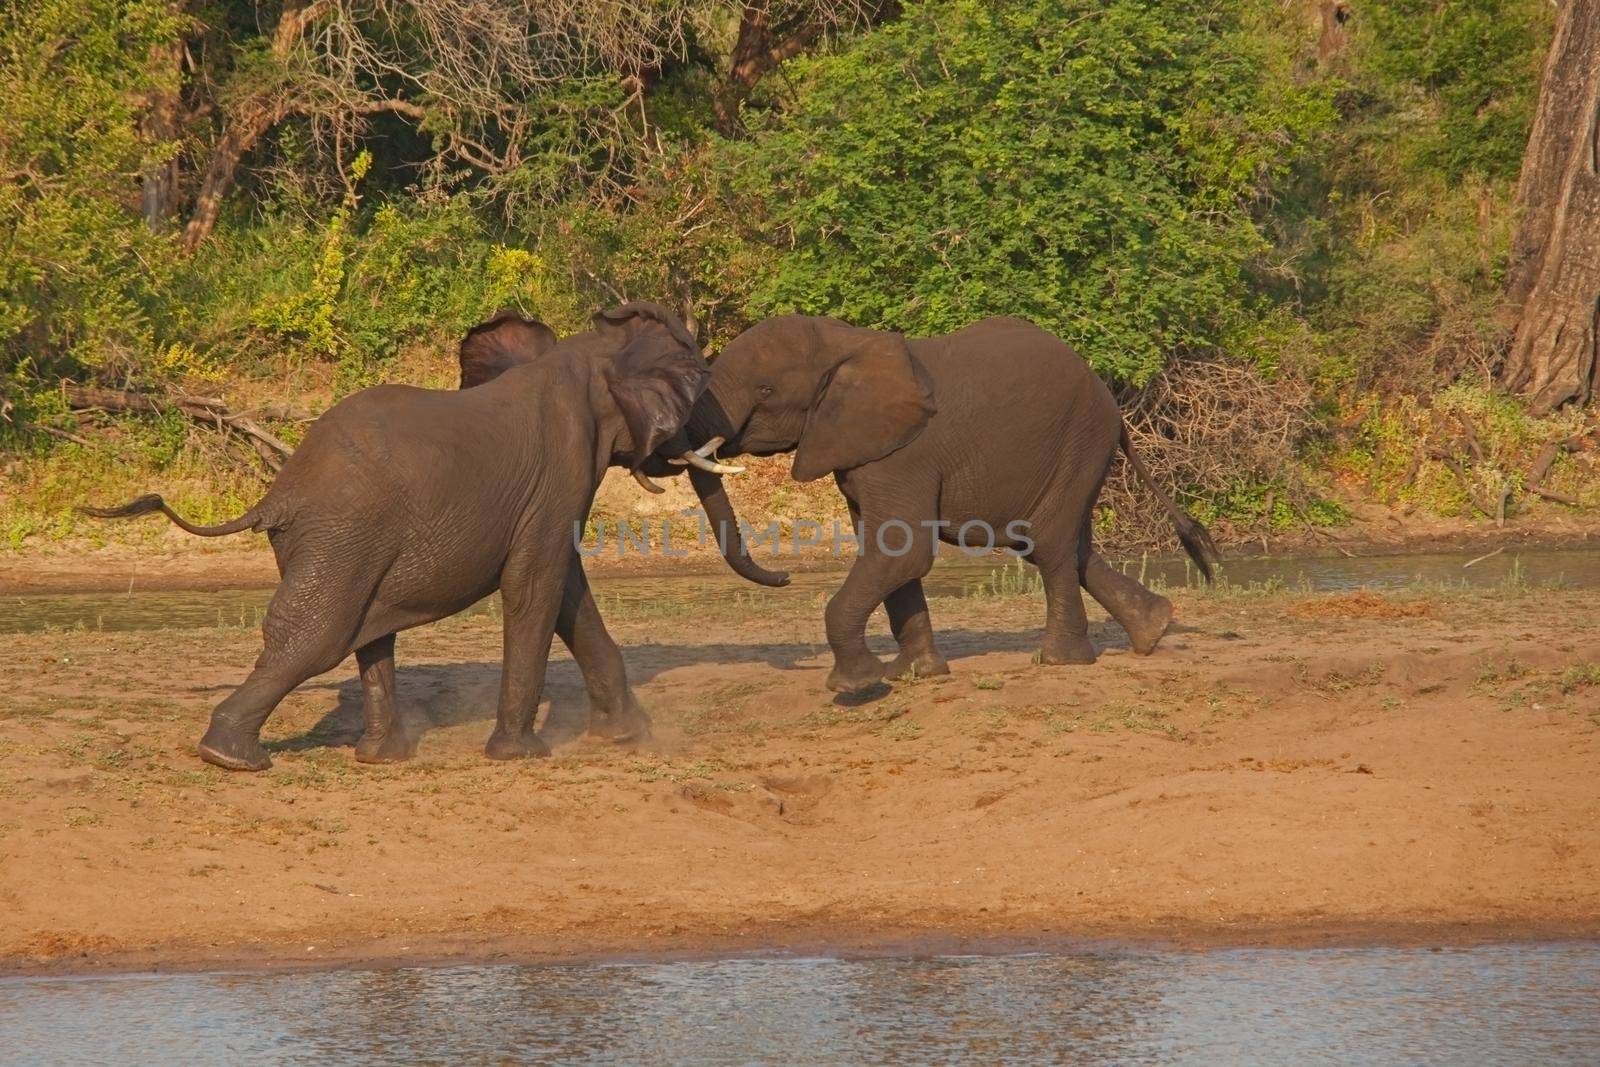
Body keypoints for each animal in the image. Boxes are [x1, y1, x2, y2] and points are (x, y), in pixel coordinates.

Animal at [681, 313, 1216, 697]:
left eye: (766, 390)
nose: (786, 576)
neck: (845, 340)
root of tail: (1115, 409)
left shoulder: (903, 455)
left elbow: (903, 551)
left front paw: (857, 684)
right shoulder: (863, 451)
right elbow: (890, 551)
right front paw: (916, 674)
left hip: (1080, 442)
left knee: (1050, 546)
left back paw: (1061, 660)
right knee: (1069, 545)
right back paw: (1154, 629)